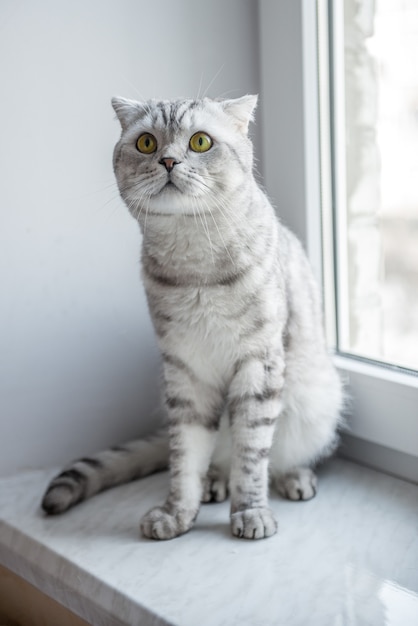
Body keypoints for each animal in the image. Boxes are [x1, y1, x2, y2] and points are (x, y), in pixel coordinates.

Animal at [41, 95, 342, 540]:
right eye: (146, 143)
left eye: (201, 141)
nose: (168, 160)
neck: (195, 261)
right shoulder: (186, 372)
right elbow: (185, 458)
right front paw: (177, 513)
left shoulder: (259, 364)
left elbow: (252, 456)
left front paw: (251, 512)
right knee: (216, 459)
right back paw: (213, 484)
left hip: (317, 400)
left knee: (282, 455)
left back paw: (294, 478)